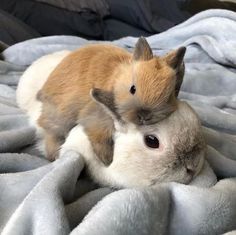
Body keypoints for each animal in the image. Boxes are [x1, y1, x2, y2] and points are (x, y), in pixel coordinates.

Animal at [17, 38, 186, 163]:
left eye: (170, 95)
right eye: (133, 89)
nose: (144, 116)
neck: (115, 80)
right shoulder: (96, 117)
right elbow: (98, 136)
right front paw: (106, 159)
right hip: (60, 117)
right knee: (50, 131)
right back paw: (54, 155)